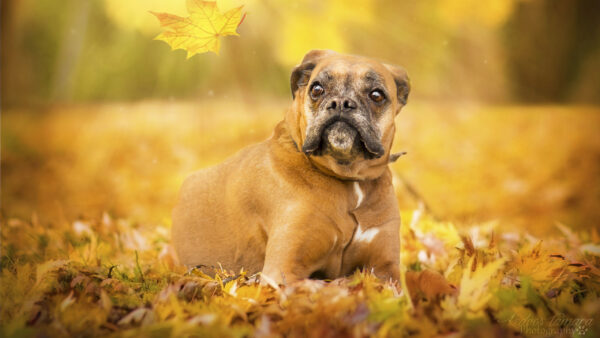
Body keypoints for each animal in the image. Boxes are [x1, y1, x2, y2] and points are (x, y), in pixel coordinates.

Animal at [171, 49, 410, 282]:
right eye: (317, 89)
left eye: (377, 95)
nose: (342, 102)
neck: (348, 180)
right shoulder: (283, 269)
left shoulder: (386, 269)